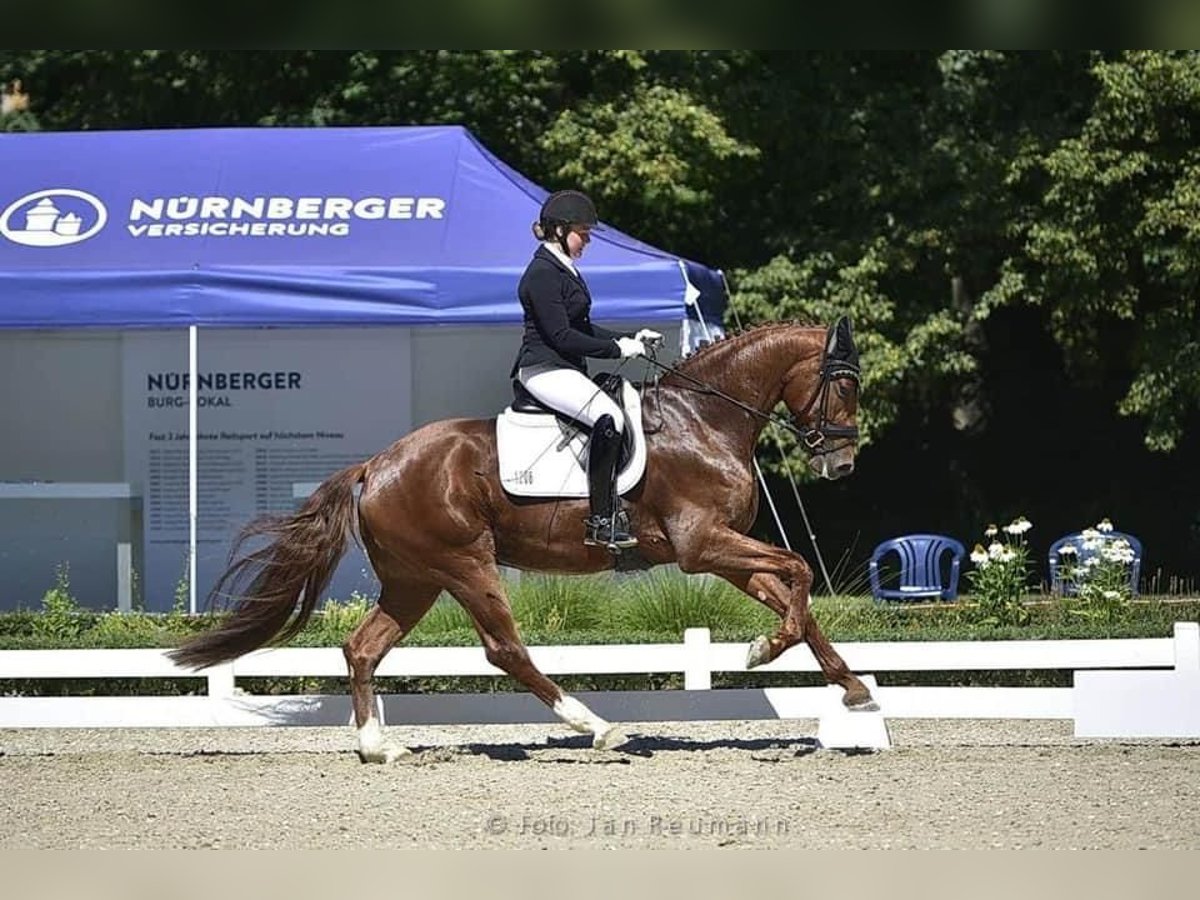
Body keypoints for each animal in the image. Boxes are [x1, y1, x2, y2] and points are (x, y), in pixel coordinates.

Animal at [171, 316, 873, 763]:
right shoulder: (702, 545)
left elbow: (796, 596)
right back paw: (597, 728)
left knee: (362, 647)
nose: (842, 466)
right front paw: (762, 651)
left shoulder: (719, 551)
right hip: (465, 564)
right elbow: (800, 571)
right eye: (844, 384)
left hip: (413, 580)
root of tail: (376, 464)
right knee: (504, 649)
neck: (704, 419)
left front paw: (853, 689)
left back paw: (378, 747)